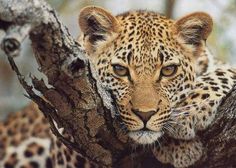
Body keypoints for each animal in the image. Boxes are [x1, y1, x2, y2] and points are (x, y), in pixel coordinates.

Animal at [0, 5, 236, 168]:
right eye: (120, 70)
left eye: (168, 70)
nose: (145, 114)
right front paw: (179, 147)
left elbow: (226, 71)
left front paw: (189, 113)